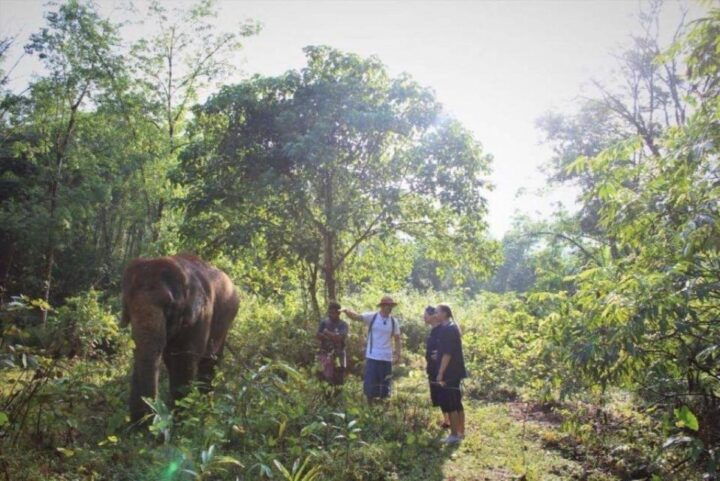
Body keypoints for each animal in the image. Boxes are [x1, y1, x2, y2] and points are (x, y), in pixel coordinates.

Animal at [121, 253, 239, 422]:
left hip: (226, 323)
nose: (145, 420)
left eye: (169, 305)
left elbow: (184, 360)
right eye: (127, 304)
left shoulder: (201, 316)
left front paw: (180, 419)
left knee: (210, 362)